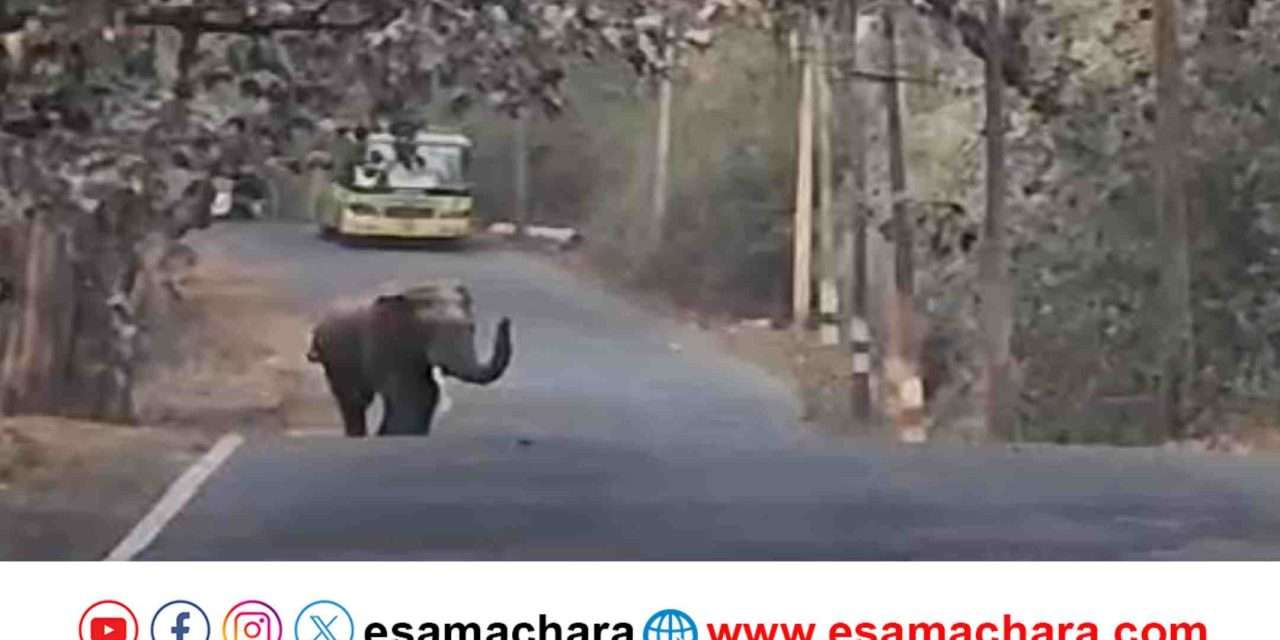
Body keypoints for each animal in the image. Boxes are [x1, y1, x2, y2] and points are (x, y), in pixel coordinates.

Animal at [306, 280, 513, 436]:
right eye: (428, 330)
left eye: (471, 327)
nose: (506, 320)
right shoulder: (385, 342)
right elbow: (405, 391)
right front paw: (394, 434)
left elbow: (428, 391)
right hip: (336, 357)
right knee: (355, 400)